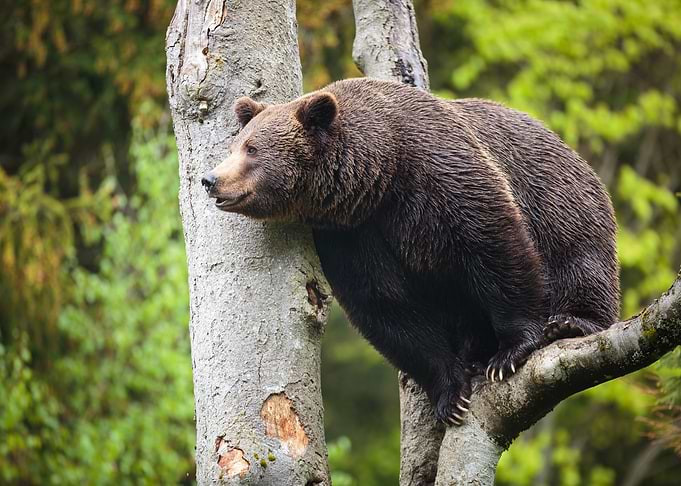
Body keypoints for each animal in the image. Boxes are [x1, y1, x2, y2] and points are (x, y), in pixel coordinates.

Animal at [201, 78, 620, 425]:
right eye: (235, 145)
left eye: (252, 149)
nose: (210, 179)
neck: (379, 174)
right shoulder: (352, 234)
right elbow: (387, 305)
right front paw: (450, 394)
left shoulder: (441, 175)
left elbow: (495, 248)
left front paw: (510, 352)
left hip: (560, 200)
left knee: (579, 259)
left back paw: (571, 322)